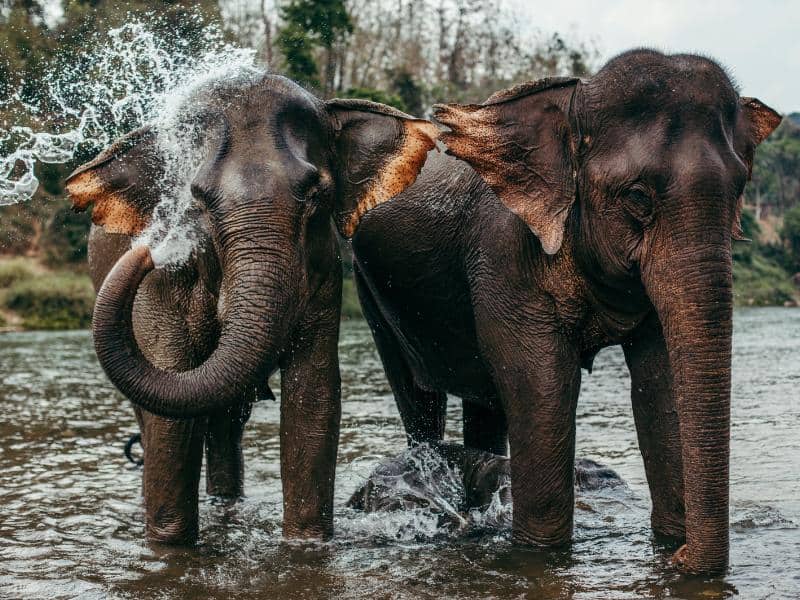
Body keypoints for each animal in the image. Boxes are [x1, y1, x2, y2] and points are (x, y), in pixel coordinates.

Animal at [64, 73, 438, 545]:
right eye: (197, 200)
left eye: (315, 194)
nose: (149, 251)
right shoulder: (161, 287)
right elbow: (170, 412)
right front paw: (168, 546)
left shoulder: (323, 272)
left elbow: (313, 397)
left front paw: (306, 545)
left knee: (226, 422)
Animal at [350, 49, 781, 573]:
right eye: (637, 196)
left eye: (740, 190)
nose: (680, 560)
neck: (574, 100)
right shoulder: (505, 254)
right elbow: (543, 384)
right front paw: (541, 554)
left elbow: (660, 383)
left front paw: (668, 542)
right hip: (370, 290)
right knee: (419, 396)